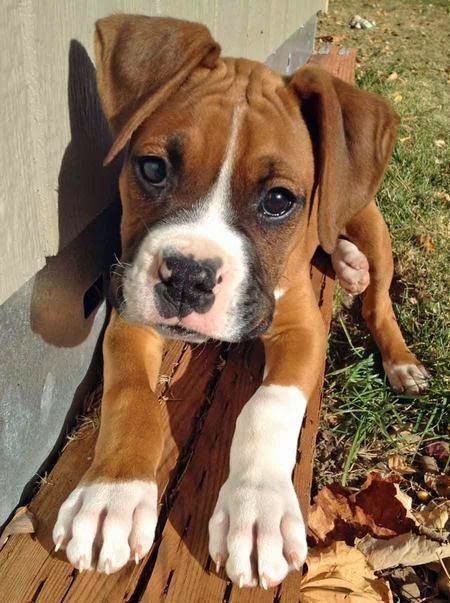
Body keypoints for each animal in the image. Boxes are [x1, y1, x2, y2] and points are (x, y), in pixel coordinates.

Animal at [52, 15, 428, 588]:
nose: (188, 277)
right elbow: (132, 396)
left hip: (370, 220)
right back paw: (346, 262)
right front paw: (110, 497)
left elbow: (267, 406)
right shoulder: (131, 314)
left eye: (278, 200)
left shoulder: (302, 331)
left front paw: (259, 511)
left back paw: (396, 350)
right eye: (152, 169)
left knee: (377, 301)